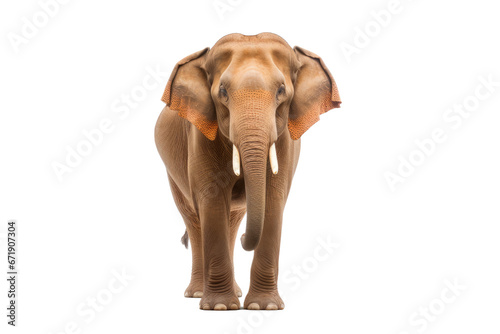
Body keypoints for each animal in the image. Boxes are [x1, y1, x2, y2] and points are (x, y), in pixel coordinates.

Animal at [154, 32, 340, 310]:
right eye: (222, 91)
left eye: (281, 91)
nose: (246, 240)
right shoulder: (199, 136)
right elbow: (211, 201)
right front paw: (220, 307)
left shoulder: (285, 141)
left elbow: (273, 201)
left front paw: (263, 307)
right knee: (194, 219)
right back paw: (198, 293)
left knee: (231, 221)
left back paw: (236, 289)